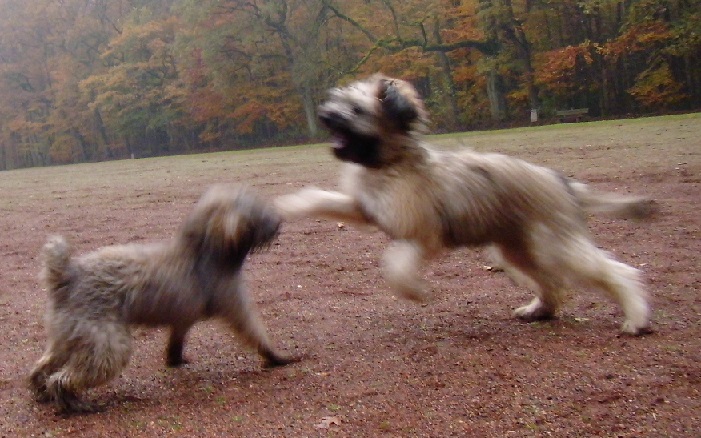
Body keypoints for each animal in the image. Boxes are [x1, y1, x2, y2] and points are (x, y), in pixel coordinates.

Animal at [29, 185, 296, 414]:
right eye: (258, 210)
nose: (278, 222)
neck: (205, 249)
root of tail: (66, 274)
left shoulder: (183, 318)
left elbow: (176, 340)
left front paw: (174, 360)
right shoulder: (234, 305)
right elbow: (256, 334)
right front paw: (277, 358)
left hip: (67, 338)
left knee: (43, 367)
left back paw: (42, 392)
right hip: (106, 346)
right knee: (62, 378)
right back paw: (73, 404)